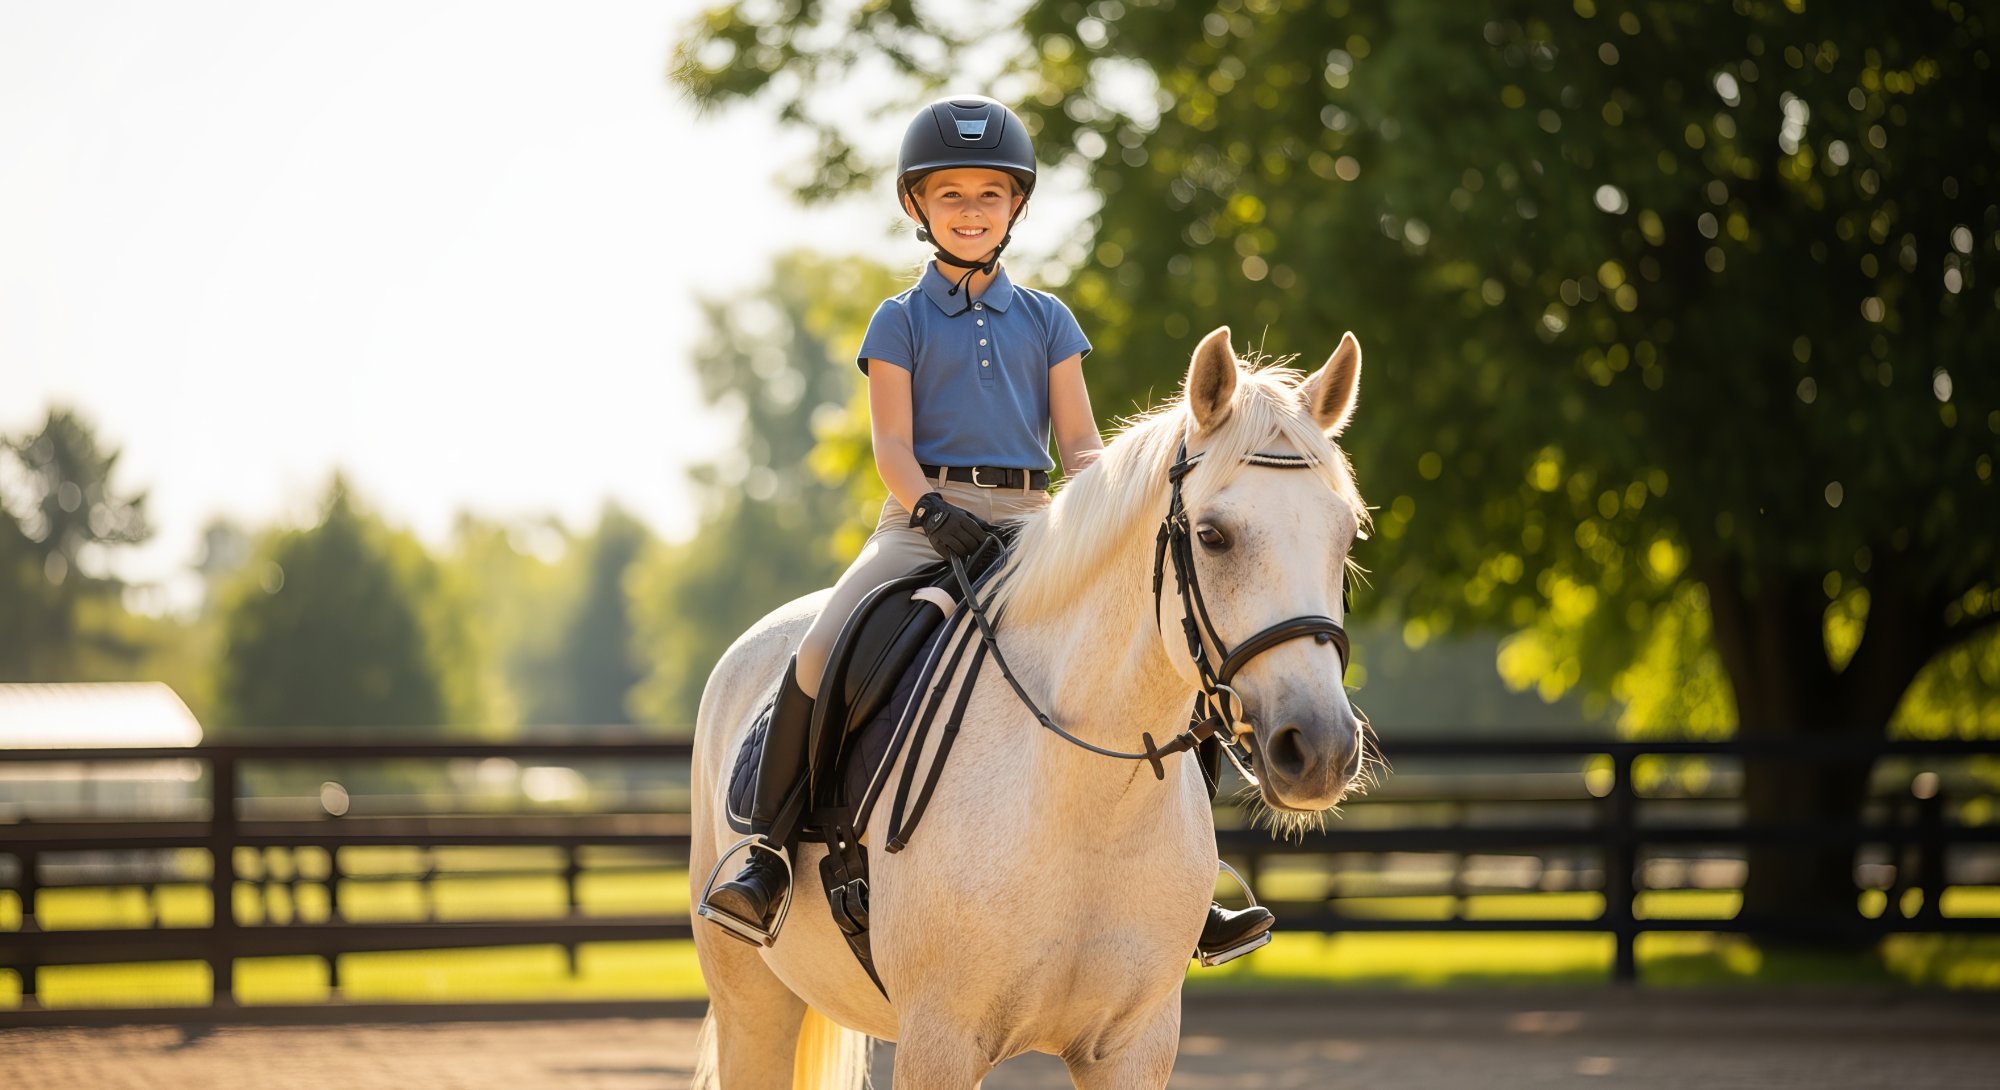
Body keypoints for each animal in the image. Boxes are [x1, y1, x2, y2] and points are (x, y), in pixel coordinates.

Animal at [688, 324, 1374, 1089]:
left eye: (1346, 535)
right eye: (1213, 536)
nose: (1320, 749)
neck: (1091, 801)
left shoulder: (1134, 1048)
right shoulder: (940, 1043)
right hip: (753, 999)